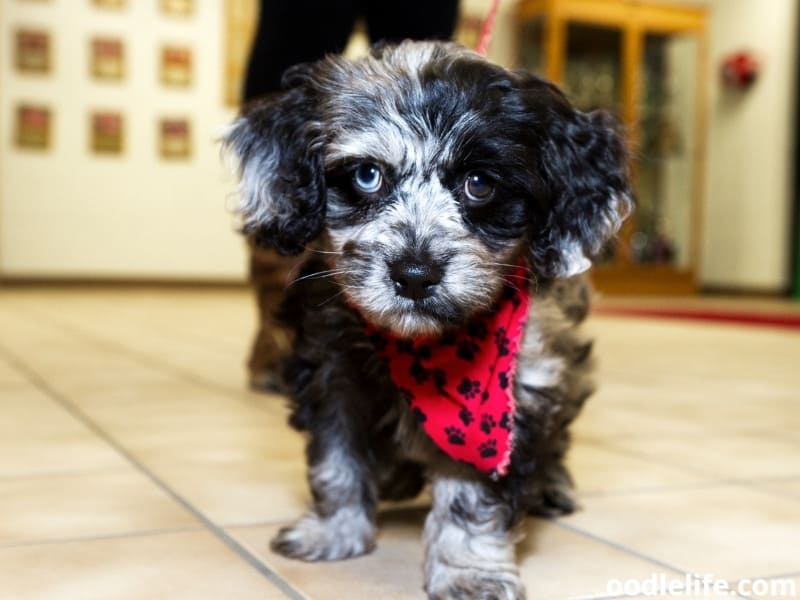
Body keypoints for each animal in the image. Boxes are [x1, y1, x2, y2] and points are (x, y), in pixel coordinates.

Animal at [225, 42, 632, 600]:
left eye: (479, 184)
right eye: (367, 176)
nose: (414, 275)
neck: (424, 348)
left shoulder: (512, 399)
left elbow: (475, 496)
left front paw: (468, 570)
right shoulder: (332, 374)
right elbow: (336, 458)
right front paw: (334, 531)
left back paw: (551, 485)